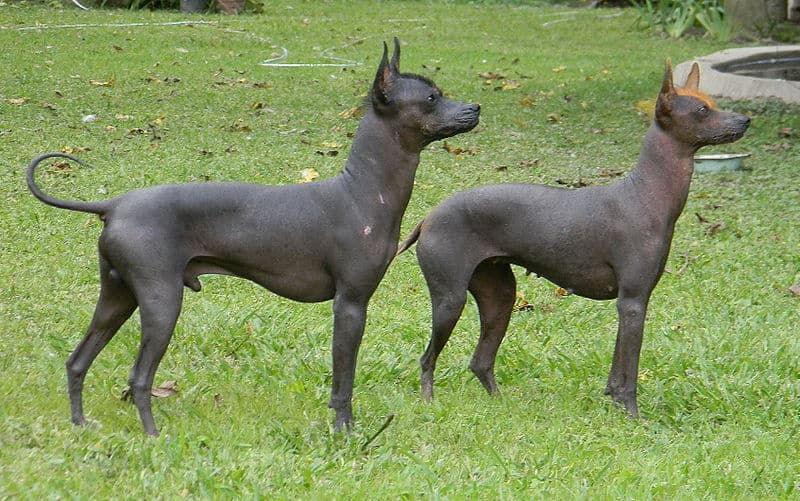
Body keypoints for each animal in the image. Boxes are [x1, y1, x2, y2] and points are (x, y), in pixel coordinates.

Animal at [398, 60, 752, 416]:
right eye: (702, 111)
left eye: (712, 103)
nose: (745, 120)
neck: (645, 193)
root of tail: (429, 217)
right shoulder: (633, 302)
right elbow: (629, 372)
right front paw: (632, 415)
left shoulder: (632, 303)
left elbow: (616, 370)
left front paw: (613, 400)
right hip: (450, 300)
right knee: (428, 358)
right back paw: (429, 402)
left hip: (500, 297)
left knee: (480, 362)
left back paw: (502, 405)